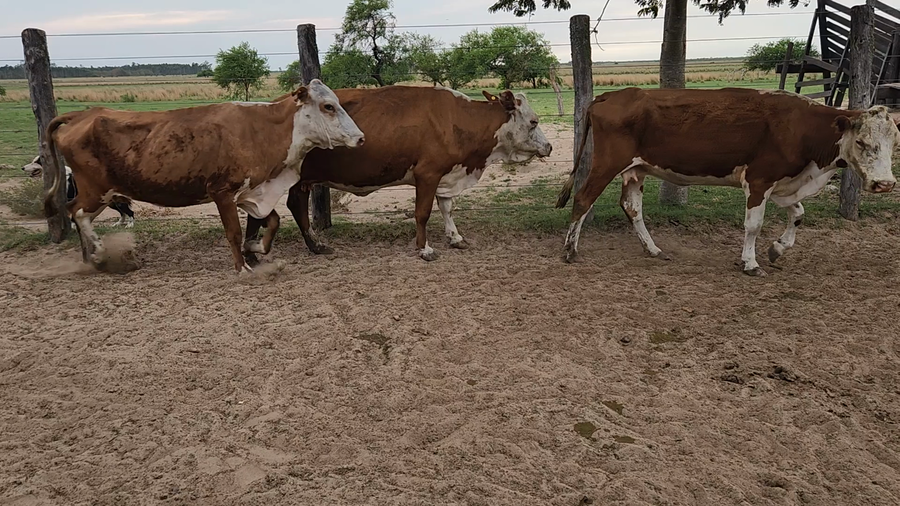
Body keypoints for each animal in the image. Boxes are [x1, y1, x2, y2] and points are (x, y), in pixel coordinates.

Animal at [43, 79, 365, 273]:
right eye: (328, 106)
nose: (361, 138)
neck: (261, 129)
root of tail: (82, 115)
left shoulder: (252, 192)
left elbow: (270, 223)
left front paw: (255, 248)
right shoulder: (222, 192)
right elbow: (234, 232)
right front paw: (243, 268)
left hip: (100, 192)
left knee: (77, 214)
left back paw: (91, 257)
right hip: (96, 190)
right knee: (77, 212)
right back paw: (97, 254)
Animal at [243, 85, 552, 264]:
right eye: (533, 121)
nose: (549, 147)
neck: (457, 120)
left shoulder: (447, 174)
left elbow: (447, 208)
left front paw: (455, 237)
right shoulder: (428, 174)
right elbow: (423, 213)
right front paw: (425, 249)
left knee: (293, 205)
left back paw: (314, 246)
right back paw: (253, 253)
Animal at [555, 87, 900, 276]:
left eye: (894, 142)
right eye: (862, 142)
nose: (885, 184)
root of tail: (609, 96)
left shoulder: (784, 184)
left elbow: (799, 214)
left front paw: (777, 249)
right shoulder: (760, 180)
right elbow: (753, 226)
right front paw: (751, 262)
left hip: (636, 170)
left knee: (631, 207)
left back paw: (652, 249)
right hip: (607, 164)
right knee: (583, 199)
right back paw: (570, 251)